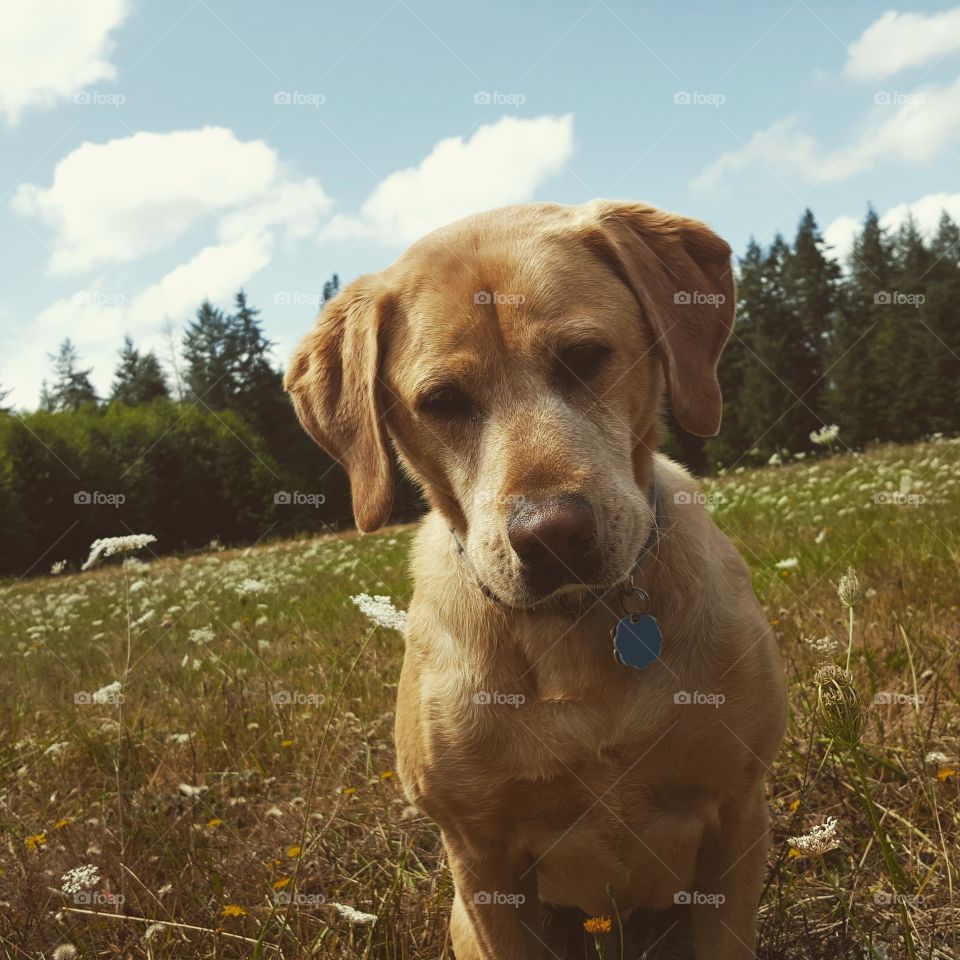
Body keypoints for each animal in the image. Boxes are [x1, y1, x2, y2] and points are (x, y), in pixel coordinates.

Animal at [284, 199, 788, 956]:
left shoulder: (736, 813)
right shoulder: (481, 859)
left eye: (583, 357)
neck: (580, 629)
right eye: (441, 399)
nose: (551, 537)